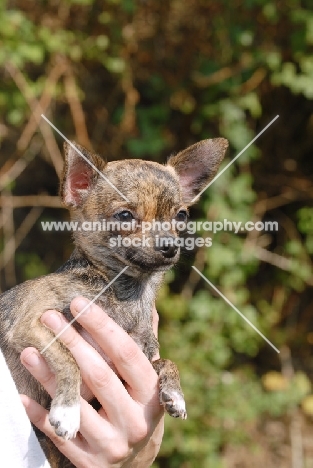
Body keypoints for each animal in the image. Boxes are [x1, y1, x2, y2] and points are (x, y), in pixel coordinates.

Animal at [0, 137, 227, 466]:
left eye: (181, 216)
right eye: (125, 216)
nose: (170, 246)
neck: (127, 291)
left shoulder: (140, 360)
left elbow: (167, 362)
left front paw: (175, 394)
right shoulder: (30, 323)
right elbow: (68, 359)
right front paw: (68, 411)